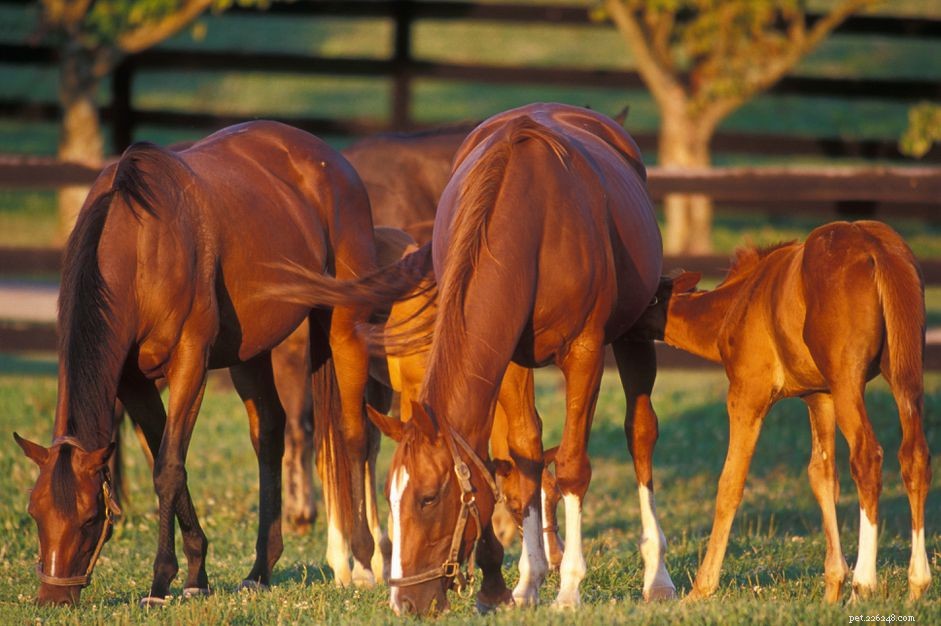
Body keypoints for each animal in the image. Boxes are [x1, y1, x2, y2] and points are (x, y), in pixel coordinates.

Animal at [12, 121, 386, 606]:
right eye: (34, 513)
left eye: (91, 518)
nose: (52, 599)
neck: (140, 246)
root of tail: (334, 161)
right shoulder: (134, 382)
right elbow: (166, 459)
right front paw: (195, 575)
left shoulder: (189, 361)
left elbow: (168, 469)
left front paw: (160, 582)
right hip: (251, 353)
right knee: (270, 433)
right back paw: (260, 570)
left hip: (344, 323)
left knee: (353, 433)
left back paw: (363, 565)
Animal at [356, 102, 670, 614]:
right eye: (388, 497)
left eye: (428, 498)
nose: (404, 603)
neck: (531, 223)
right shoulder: (509, 358)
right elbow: (523, 461)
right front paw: (523, 583)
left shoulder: (584, 351)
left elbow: (571, 466)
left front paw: (569, 587)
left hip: (633, 332)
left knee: (640, 435)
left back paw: (658, 576)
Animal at [629, 220, 931, 602]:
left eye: (650, 298)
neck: (737, 303)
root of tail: (875, 247)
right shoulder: (819, 396)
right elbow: (822, 475)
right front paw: (832, 587)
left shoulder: (747, 393)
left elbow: (730, 482)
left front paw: (702, 587)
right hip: (904, 372)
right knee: (914, 454)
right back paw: (917, 584)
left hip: (848, 380)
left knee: (867, 457)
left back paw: (864, 584)